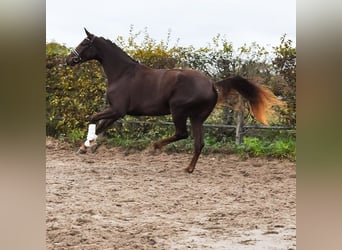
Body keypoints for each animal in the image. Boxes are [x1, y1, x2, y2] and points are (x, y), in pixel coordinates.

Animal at [65, 27, 282, 172]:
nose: (67, 60)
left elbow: (94, 118)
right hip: (197, 117)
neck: (122, 73)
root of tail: (212, 83)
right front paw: (87, 146)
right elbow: (101, 126)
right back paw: (188, 169)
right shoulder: (117, 112)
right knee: (198, 143)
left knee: (182, 134)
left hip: (178, 110)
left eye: (84, 43)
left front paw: (87, 145)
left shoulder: (118, 109)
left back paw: (154, 147)